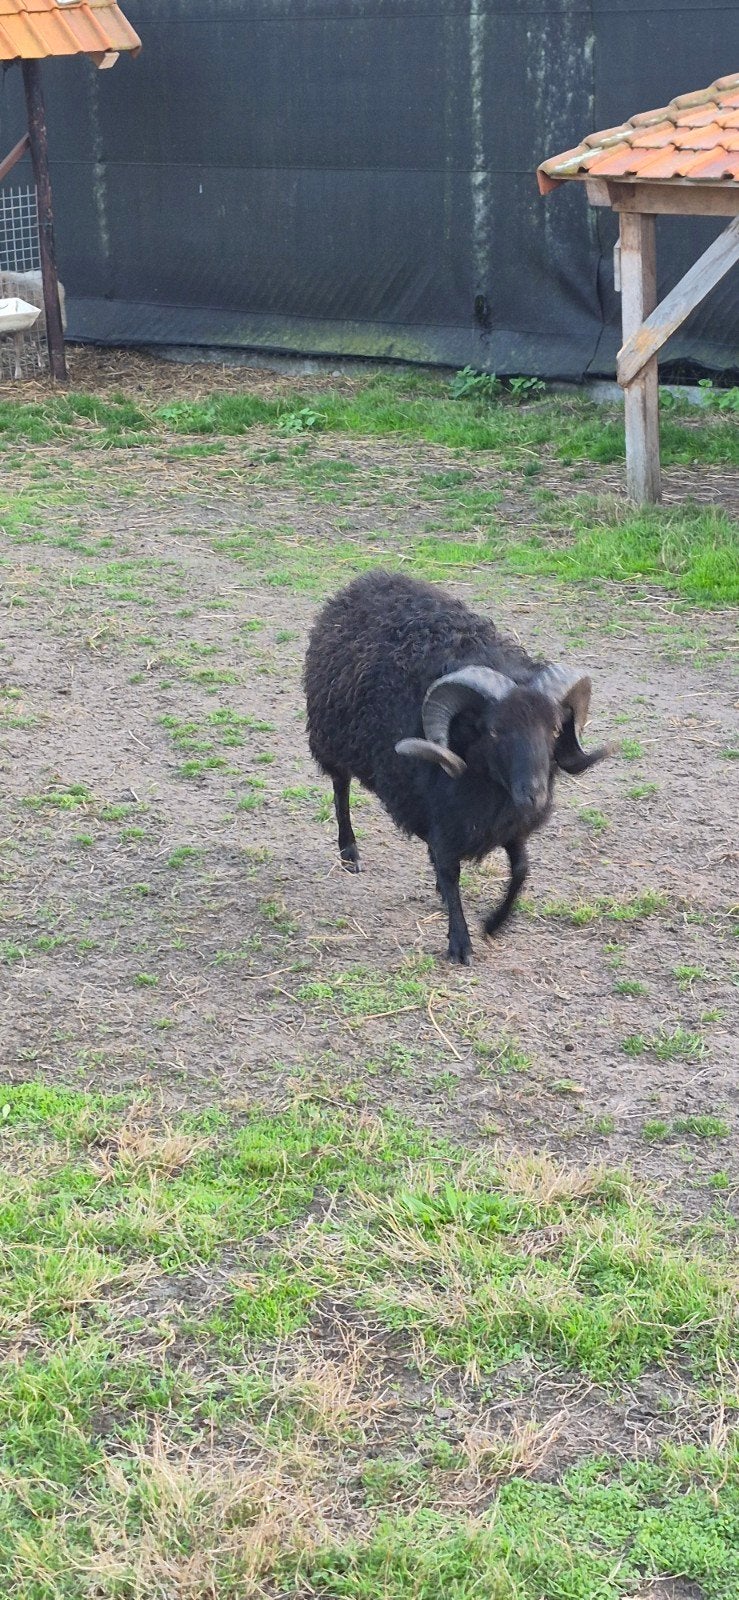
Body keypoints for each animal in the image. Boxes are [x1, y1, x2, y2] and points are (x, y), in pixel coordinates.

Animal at [303, 570, 610, 964]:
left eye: (556, 728)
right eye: (494, 731)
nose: (535, 795)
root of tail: (369, 580)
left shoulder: (507, 822)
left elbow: (521, 870)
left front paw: (494, 923)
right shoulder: (443, 815)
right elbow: (451, 873)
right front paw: (460, 943)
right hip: (332, 740)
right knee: (340, 791)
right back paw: (349, 853)